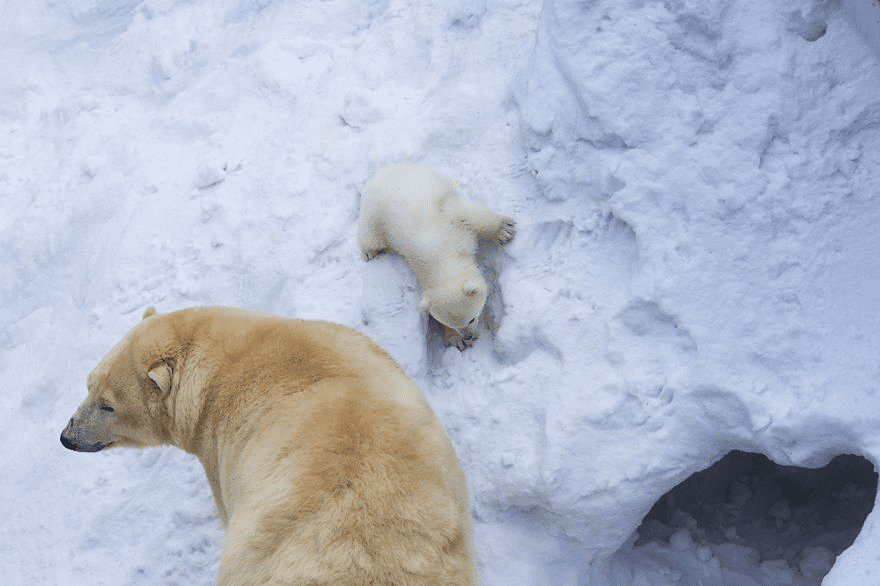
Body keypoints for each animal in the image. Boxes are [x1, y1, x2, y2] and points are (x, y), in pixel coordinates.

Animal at [358, 162, 516, 350]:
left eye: (472, 318)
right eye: (453, 324)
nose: (468, 336)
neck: (440, 253)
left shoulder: (448, 220)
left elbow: (468, 213)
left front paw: (504, 230)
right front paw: (455, 339)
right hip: (376, 213)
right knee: (372, 236)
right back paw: (369, 252)